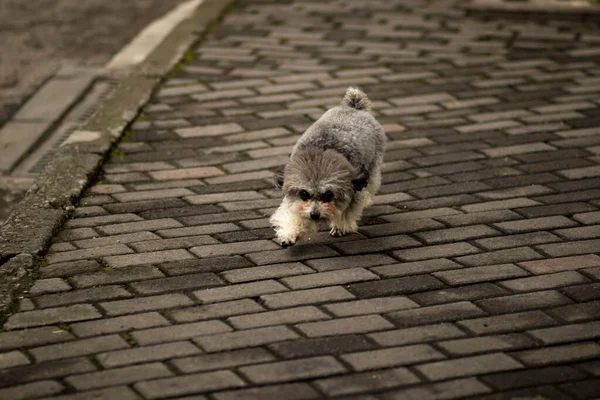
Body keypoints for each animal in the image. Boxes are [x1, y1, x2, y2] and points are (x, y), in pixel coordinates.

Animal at [270, 86, 386, 247]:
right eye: (304, 194)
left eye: (329, 195)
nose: (314, 215)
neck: (323, 151)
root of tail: (353, 107)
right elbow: (294, 213)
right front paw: (290, 233)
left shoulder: (354, 188)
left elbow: (347, 211)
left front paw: (340, 226)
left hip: (373, 166)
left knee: (370, 186)